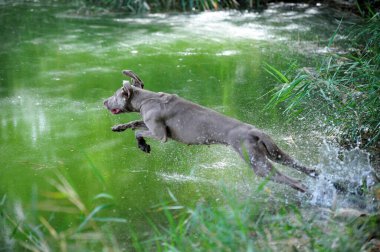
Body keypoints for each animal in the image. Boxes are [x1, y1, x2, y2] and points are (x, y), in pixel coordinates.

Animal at [103, 71, 318, 193]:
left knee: (294, 181)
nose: (104, 102)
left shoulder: (160, 134)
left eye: (114, 96)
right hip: (275, 153)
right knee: (305, 168)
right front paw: (118, 128)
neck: (147, 98)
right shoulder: (149, 124)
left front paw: (143, 146)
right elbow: (134, 123)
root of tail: (255, 131)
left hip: (257, 163)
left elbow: (138, 132)